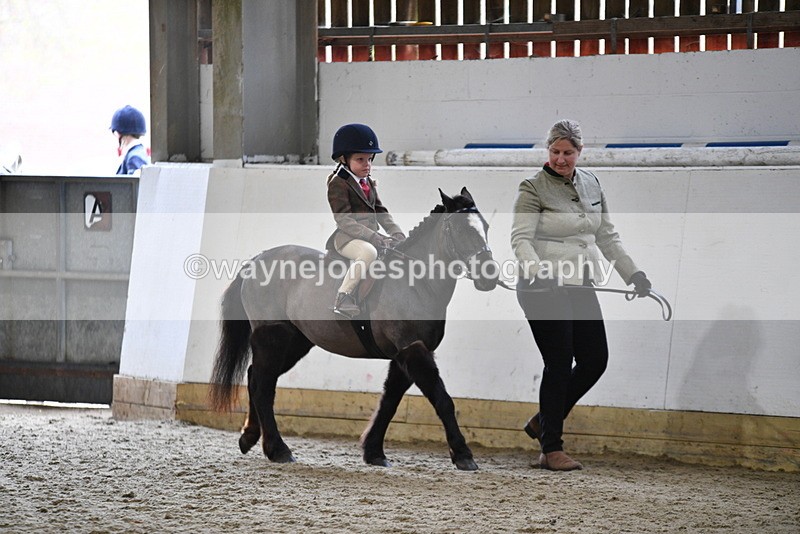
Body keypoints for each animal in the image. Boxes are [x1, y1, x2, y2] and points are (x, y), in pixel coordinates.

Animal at [209, 187, 499, 470]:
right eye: (462, 229)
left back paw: (249, 437)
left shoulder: (404, 354)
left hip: (295, 342)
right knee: (263, 386)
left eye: (485, 226)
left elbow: (389, 402)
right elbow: (443, 399)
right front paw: (463, 455)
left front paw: (374, 452)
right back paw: (278, 450)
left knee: (255, 377)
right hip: (273, 339)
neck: (416, 282)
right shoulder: (414, 350)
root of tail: (258, 259)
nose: (490, 277)